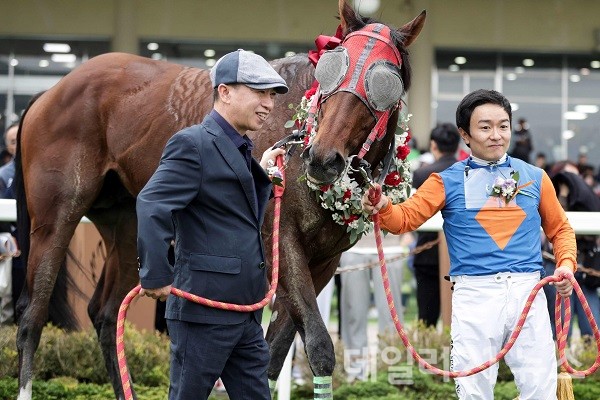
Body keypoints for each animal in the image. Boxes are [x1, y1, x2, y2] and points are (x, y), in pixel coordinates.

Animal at [15, 1, 426, 398]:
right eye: (330, 69)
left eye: (384, 81)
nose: (323, 159)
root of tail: (51, 91)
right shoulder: (281, 241)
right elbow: (319, 346)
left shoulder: (324, 260)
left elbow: (272, 355)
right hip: (56, 216)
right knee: (31, 316)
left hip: (128, 222)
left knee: (105, 312)